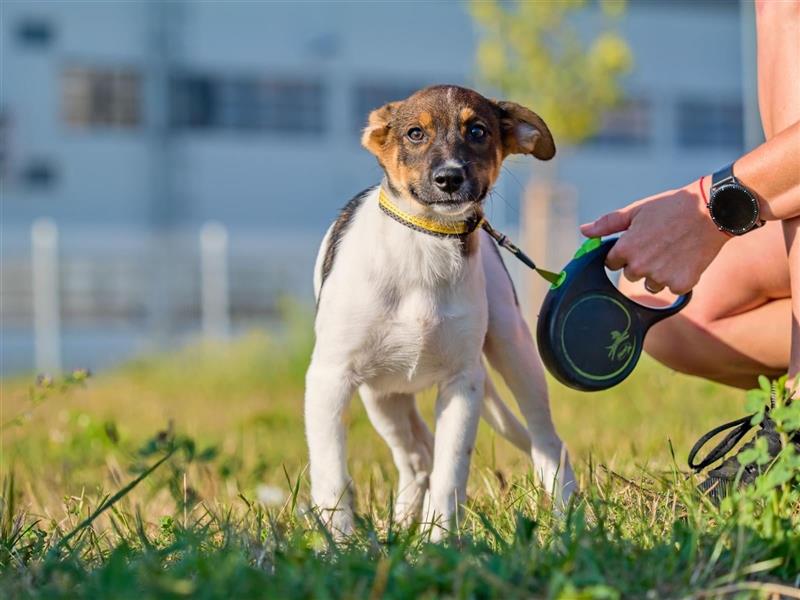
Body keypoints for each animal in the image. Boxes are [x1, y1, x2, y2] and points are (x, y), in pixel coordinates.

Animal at [304, 84, 576, 540]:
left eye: (478, 130)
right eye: (415, 133)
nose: (449, 178)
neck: (426, 242)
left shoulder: (462, 383)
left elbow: (451, 473)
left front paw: (440, 540)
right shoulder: (330, 378)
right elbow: (331, 476)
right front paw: (338, 544)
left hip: (514, 349)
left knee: (547, 442)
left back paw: (569, 518)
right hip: (382, 395)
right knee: (417, 457)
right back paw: (398, 527)